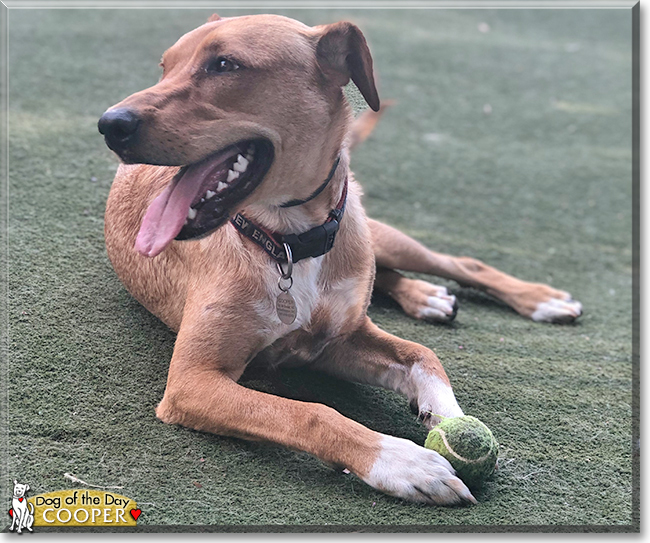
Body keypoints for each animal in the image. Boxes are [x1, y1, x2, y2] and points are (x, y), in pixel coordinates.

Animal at [97, 13, 584, 506]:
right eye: (164, 67)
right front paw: (401, 460)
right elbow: (311, 412)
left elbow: (421, 353)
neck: (288, 242)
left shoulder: (338, 339)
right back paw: (427, 297)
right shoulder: (193, 381)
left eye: (224, 64)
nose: (109, 123)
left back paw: (538, 300)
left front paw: (446, 413)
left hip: (375, 232)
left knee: (460, 263)